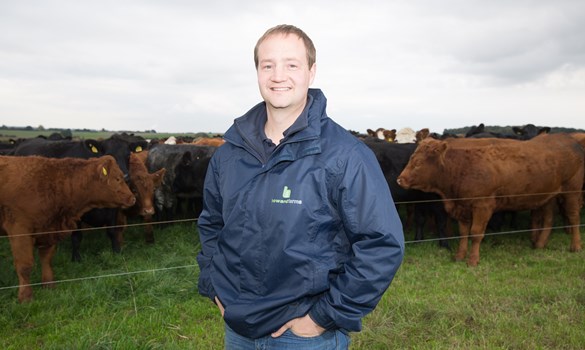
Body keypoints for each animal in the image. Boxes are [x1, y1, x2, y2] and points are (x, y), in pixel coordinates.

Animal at [0, 154, 135, 302]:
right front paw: (26, 297)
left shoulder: (48, 229)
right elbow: (24, 266)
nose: (132, 198)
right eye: (117, 178)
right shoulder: (19, 230)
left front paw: (49, 285)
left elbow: (46, 258)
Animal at [394, 134, 580, 266]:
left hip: (572, 192)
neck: (462, 166)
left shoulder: (482, 206)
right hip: (548, 197)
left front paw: (472, 260)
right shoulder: (463, 208)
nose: (400, 180)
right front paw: (459, 256)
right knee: (548, 219)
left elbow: (476, 233)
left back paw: (575, 246)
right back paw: (540, 244)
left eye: (418, 163)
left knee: (573, 218)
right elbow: (464, 233)